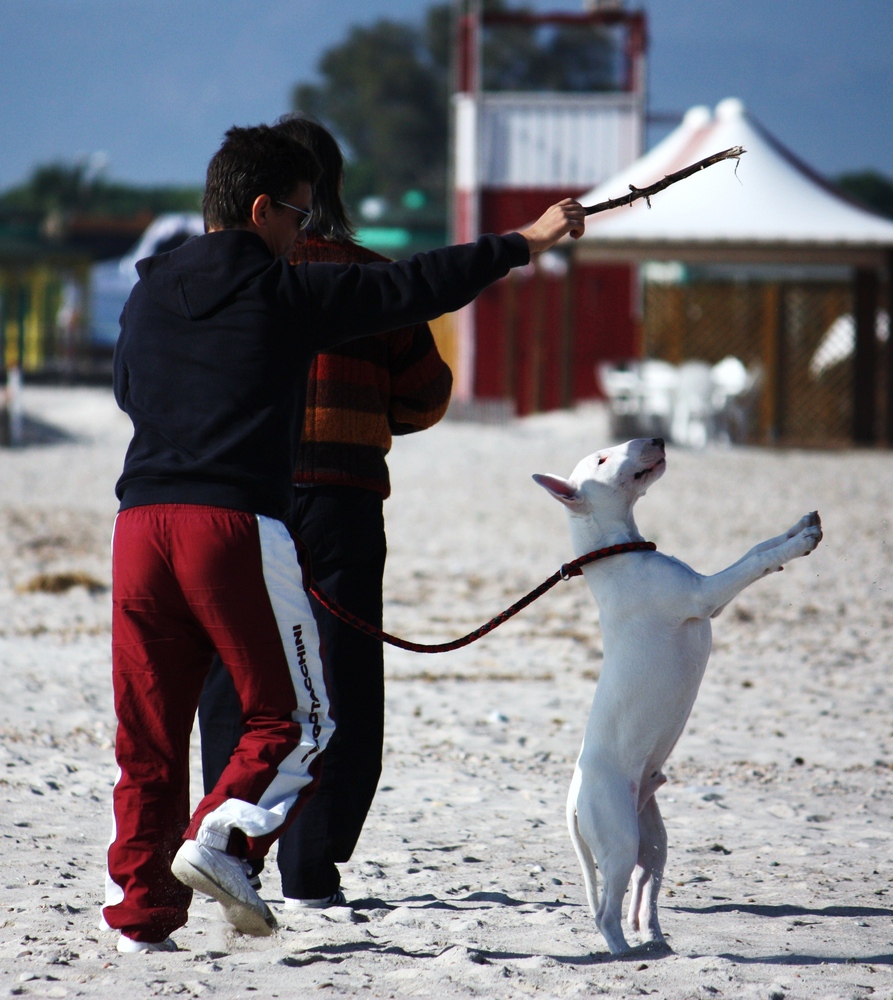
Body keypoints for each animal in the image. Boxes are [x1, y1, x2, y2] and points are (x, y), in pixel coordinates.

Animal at [528, 438, 824, 952]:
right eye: (602, 459)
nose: (656, 440)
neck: (619, 552)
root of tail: (571, 803)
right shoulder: (706, 596)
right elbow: (752, 564)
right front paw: (800, 543)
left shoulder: (709, 596)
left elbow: (756, 547)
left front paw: (800, 526)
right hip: (619, 838)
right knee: (605, 909)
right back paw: (624, 953)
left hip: (652, 836)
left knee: (643, 886)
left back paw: (655, 938)